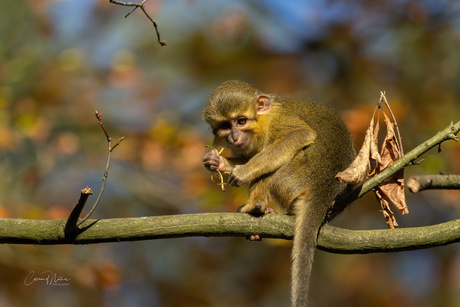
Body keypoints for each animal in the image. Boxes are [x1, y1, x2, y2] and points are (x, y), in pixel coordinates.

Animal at [201, 80, 356, 306]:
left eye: (241, 121)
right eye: (225, 126)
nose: (234, 137)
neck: (262, 122)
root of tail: (325, 187)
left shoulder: (277, 123)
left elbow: (299, 134)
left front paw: (244, 171)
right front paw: (217, 162)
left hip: (296, 173)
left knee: (276, 162)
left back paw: (256, 207)